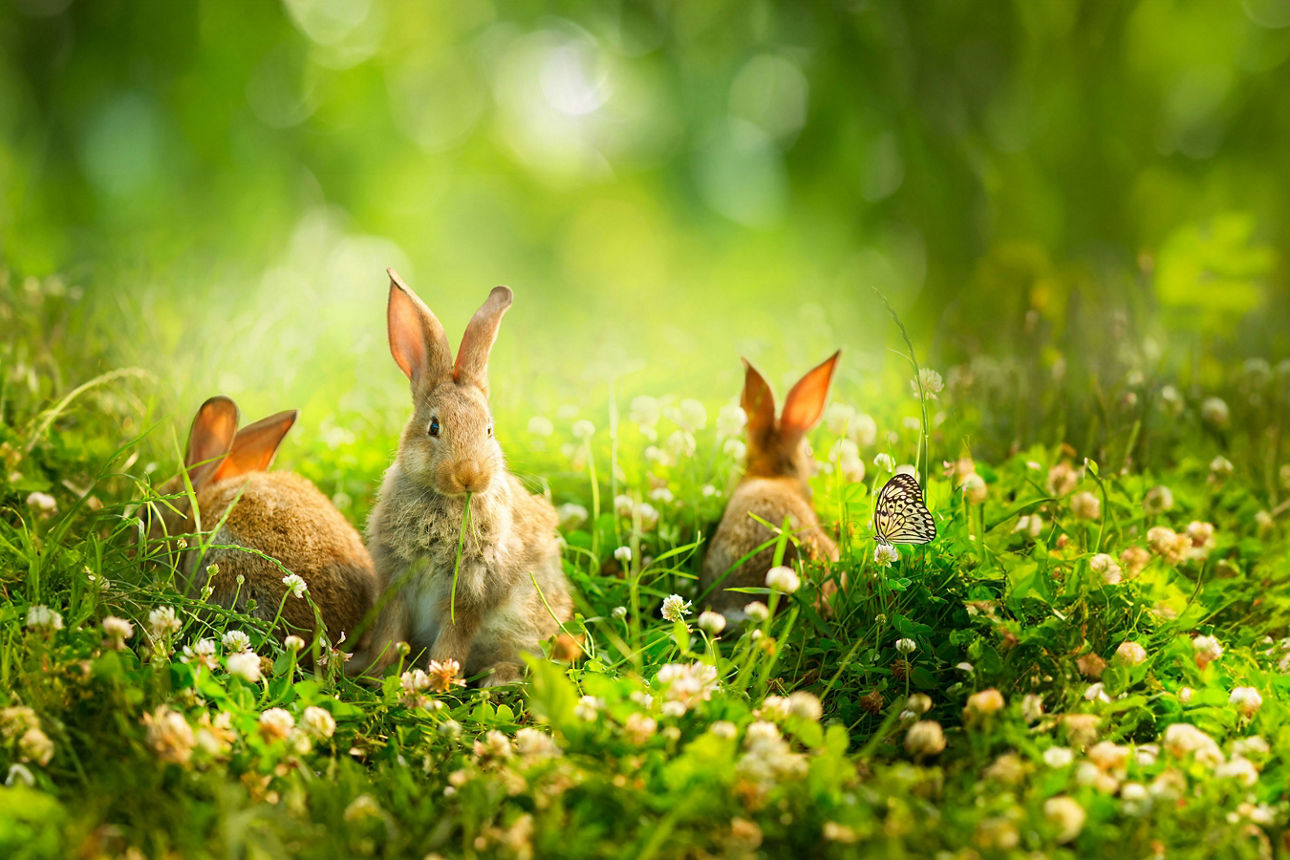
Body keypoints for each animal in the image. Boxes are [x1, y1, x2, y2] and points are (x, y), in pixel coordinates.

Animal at [348, 269, 573, 686]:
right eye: (434, 427)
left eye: (489, 430)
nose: (470, 474)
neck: (447, 502)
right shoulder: (396, 580)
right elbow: (390, 631)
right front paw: (377, 671)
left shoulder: (470, 591)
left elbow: (453, 638)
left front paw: (439, 681)